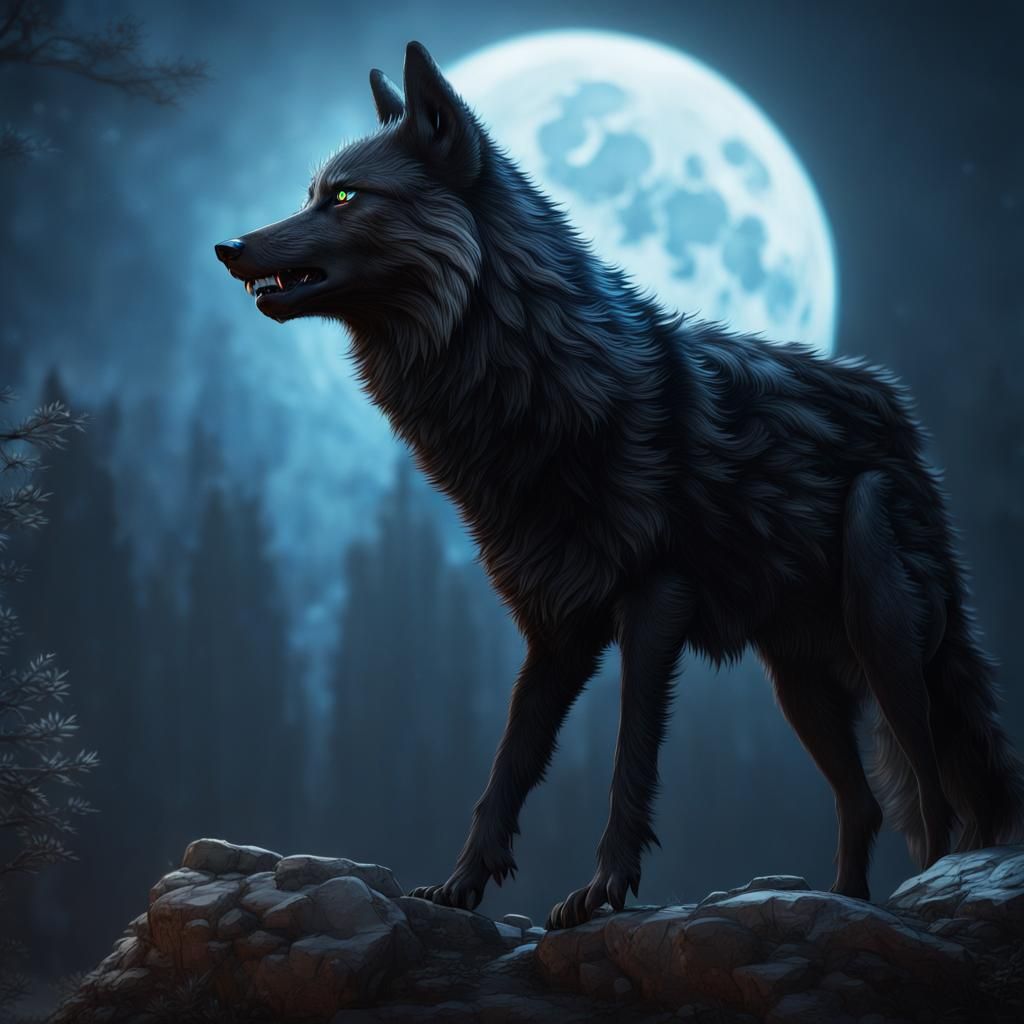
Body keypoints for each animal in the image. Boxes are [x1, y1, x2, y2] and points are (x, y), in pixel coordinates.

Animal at [215, 41, 1024, 929]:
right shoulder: (554, 625)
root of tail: (900, 413)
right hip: (798, 684)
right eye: (310, 193)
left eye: (345, 195)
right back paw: (843, 904)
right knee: (864, 801)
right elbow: (508, 765)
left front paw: (602, 890)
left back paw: (914, 901)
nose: (228, 247)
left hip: (883, 634)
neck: (534, 388)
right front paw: (462, 885)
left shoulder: (653, 599)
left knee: (931, 792)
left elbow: (629, 755)